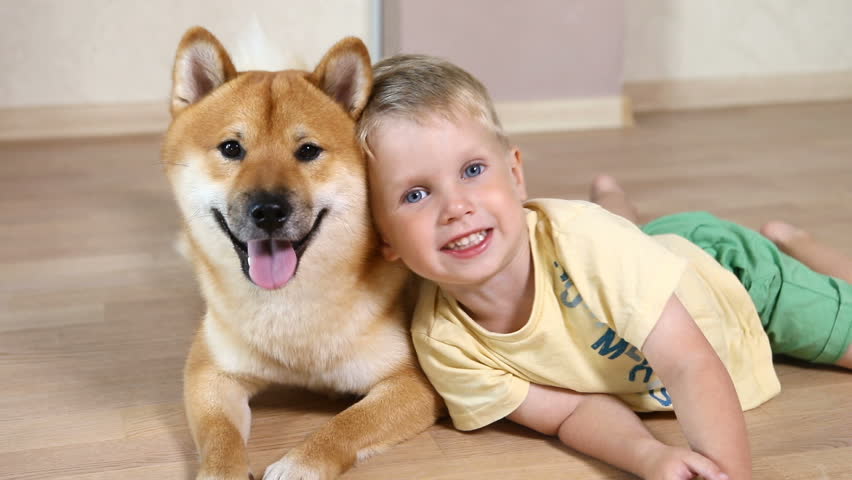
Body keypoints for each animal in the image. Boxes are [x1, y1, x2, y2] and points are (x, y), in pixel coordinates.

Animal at [161, 27, 446, 480]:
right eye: (231, 148)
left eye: (308, 151)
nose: (269, 210)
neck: (290, 312)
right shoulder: (210, 373)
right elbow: (220, 437)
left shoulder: (413, 381)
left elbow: (348, 424)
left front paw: (301, 464)